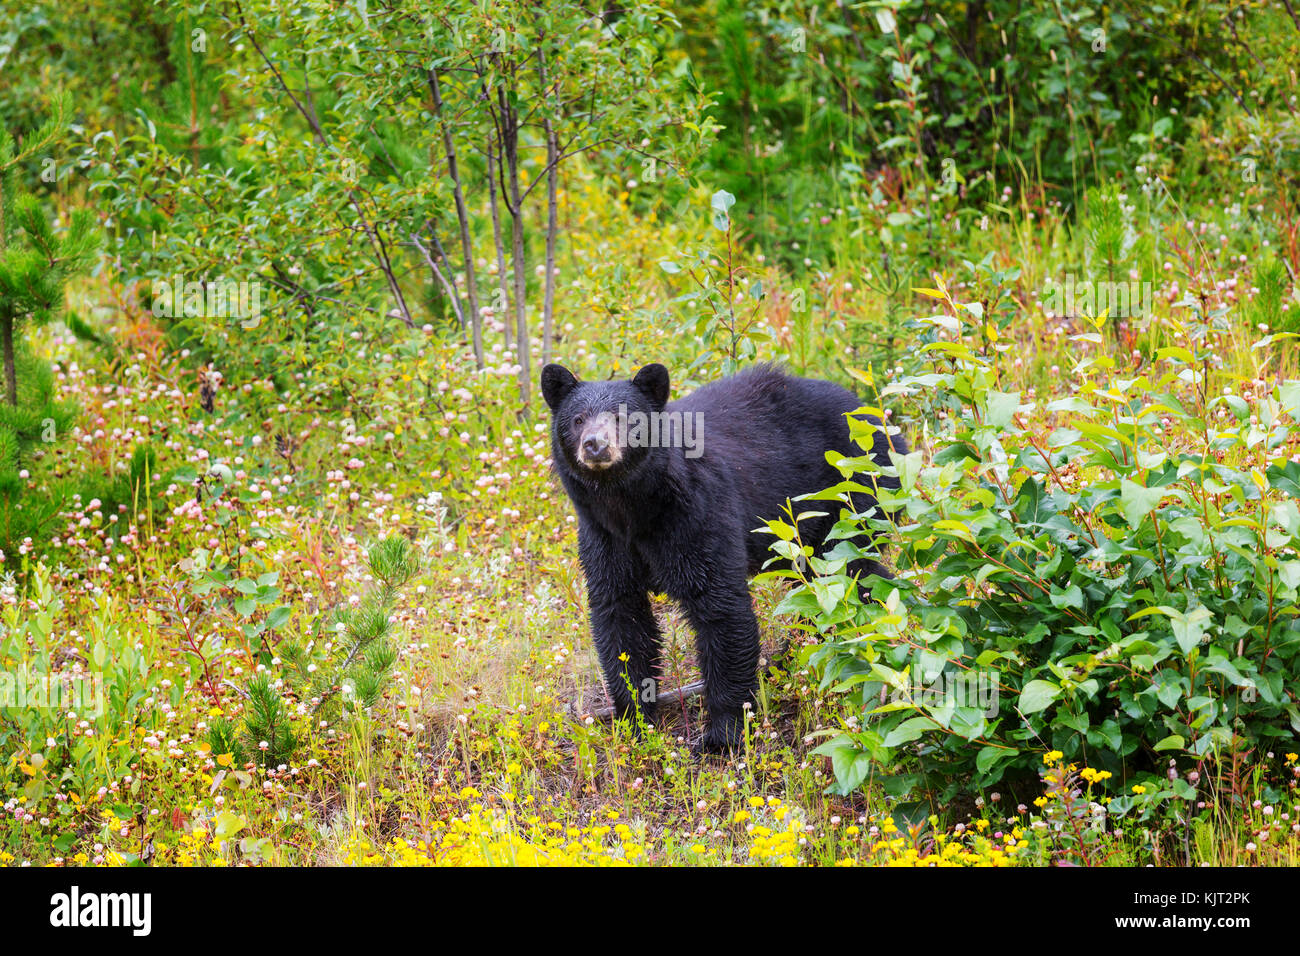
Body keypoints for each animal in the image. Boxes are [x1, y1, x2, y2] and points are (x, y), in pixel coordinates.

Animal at [540, 361, 907, 754]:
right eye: (577, 419)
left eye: (625, 418)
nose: (595, 445)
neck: (631, 509)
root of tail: (877, 417)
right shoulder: (604, 538)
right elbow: (620, 617)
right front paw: (634, 721)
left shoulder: (697, 513)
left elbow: (719, 607)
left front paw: (721, 733)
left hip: (850, 495)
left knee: (851, 572)